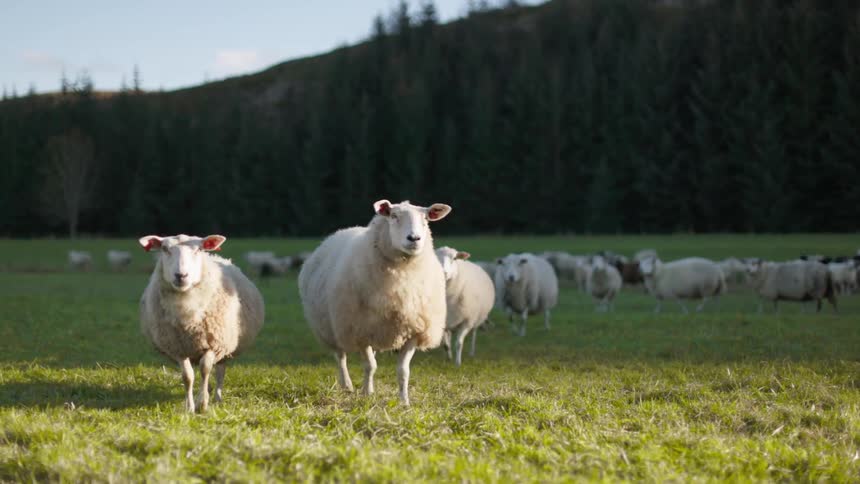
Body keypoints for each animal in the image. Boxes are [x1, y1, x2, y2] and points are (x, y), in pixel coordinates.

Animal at [139, 234, 265, 413]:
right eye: (165, 249)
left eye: (198, 249)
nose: (181, 275)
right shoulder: (178, 348)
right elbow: (188, 376)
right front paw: (189, 407)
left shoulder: (215, 344)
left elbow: (205, 369)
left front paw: (203, 404)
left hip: (225, 347)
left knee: (219, 372)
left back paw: (217, 398)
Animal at [298, 199, 451, 405]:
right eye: (393, 216)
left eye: (426, 219)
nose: (414, 238)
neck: (403, 275)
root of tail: (340, 233)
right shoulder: (360, 329)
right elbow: (370, 366)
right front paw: (367, 394)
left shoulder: (413, 329)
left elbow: (403, 371)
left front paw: (404, 401)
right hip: (333, 327)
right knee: (341, 357)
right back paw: (346, 385)